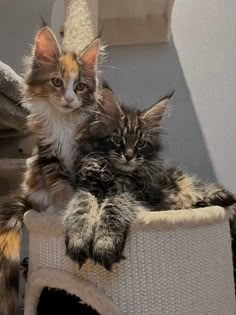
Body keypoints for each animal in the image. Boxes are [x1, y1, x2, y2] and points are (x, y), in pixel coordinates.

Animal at [0, 26, 100, 315]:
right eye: (57, 82)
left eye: (80, 86)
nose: (68, 98)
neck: (63, 123)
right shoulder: (49, 156)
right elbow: (61, 188)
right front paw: (63, 210)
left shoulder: (85, 153)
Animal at [63, 89, 236, 272]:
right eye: (117, 139)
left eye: (141, 144)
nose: (129, 156)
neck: (115, 174)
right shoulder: (86, 189)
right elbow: (81, 208)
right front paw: (78, 240)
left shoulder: (135, 195)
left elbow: (113, 208)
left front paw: (105, 244)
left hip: (185, 184)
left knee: (206, 190)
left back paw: (218, 197)